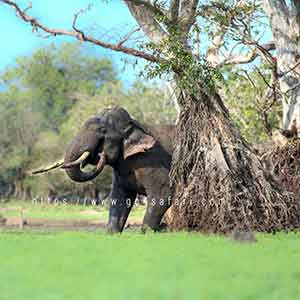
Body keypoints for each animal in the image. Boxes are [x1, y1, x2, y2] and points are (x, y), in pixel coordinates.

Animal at [35, 106, 175, 233]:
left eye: (102, 130)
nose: (100, 153)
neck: (136, 123)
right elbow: (119, 196)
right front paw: (112, 233)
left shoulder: (153, 160)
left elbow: (163, 193)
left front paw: (146, 233)